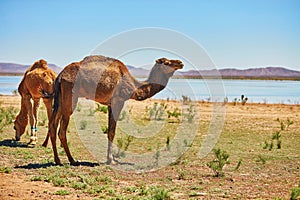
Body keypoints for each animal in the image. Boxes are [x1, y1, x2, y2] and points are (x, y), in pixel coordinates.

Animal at [49, 54, 183, 164]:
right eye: (166, 62)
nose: (180, 63)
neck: (135, 87)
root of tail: (60, 76)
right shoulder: (118, 101)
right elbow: (112, 132)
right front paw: (111, 160)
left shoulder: (110, 104)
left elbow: (109, 130)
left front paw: (111, 158)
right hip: (70, 96)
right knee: (61, 130)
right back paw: (72, 160)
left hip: (60, 98)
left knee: (52, 125)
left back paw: (58, 160)